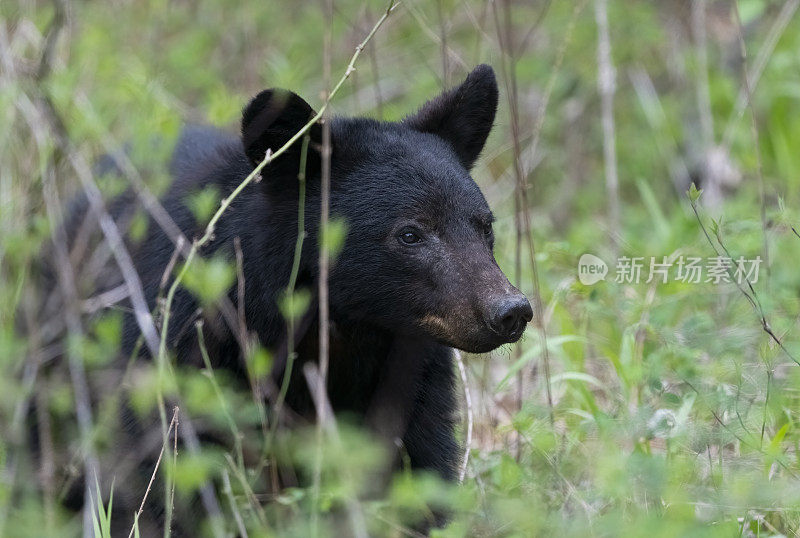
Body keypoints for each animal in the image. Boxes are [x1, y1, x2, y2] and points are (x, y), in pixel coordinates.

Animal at [125, 62, 532, 494]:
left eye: (485, 226)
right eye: (410, 234)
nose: (511, 311)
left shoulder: (413, 378)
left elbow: (421, 463)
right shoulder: (187, 349)